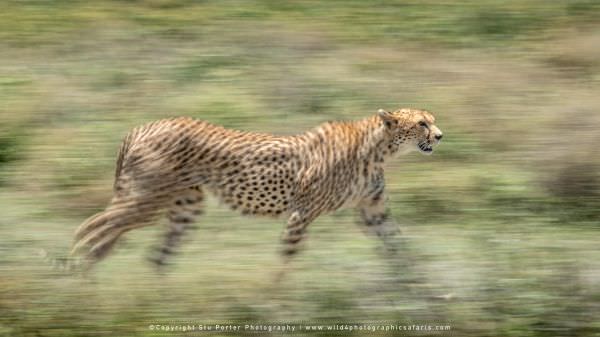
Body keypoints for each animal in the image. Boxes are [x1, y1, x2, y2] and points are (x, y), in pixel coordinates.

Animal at [64, 108, 440, 270]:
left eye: (432, 121)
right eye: (422, 123)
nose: (440, 136)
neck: (377, 148)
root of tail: (145, 124)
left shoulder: (373, 212)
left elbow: (400, 248)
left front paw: (422, 290)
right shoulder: (301, 213)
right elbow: (284, 263)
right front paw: (272, 301)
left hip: (185, 207)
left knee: (156, 256)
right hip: (147, 200)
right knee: (91, 226)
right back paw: (77, 279)